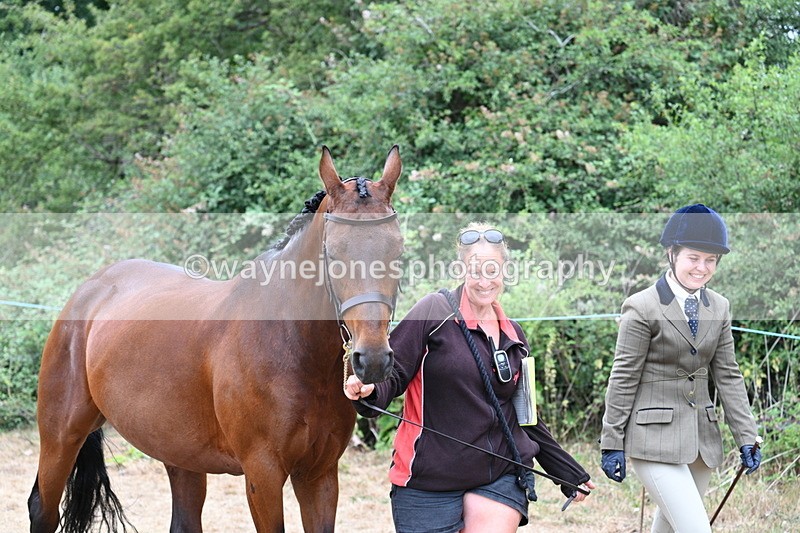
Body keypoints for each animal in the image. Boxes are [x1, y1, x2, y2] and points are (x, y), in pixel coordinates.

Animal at [28, 146, 404, 533]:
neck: (291, 345)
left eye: (397, 251)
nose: (373, 359)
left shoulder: (320, 475)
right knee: (42, 508)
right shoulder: (263, 475)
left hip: (179, 453)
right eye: (334, 253)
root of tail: (90, 289)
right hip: (61, 438)